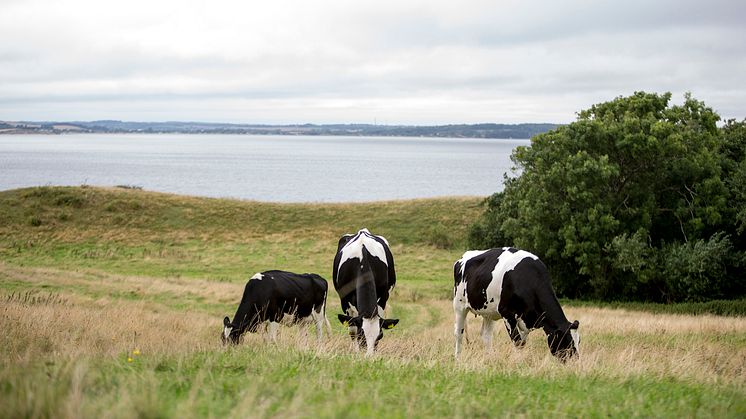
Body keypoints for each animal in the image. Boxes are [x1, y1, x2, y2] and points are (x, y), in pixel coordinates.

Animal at [450, 249, 580, 360]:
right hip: (459, 305)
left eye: (579, 341)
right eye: (566, 340)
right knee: (458, 333)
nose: (575, 362)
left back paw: (489, 358)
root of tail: (463, 257)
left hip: (488, 311)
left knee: (486, 335)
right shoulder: (507, 314)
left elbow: (522, 342)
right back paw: (458, 359)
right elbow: (517, 341)